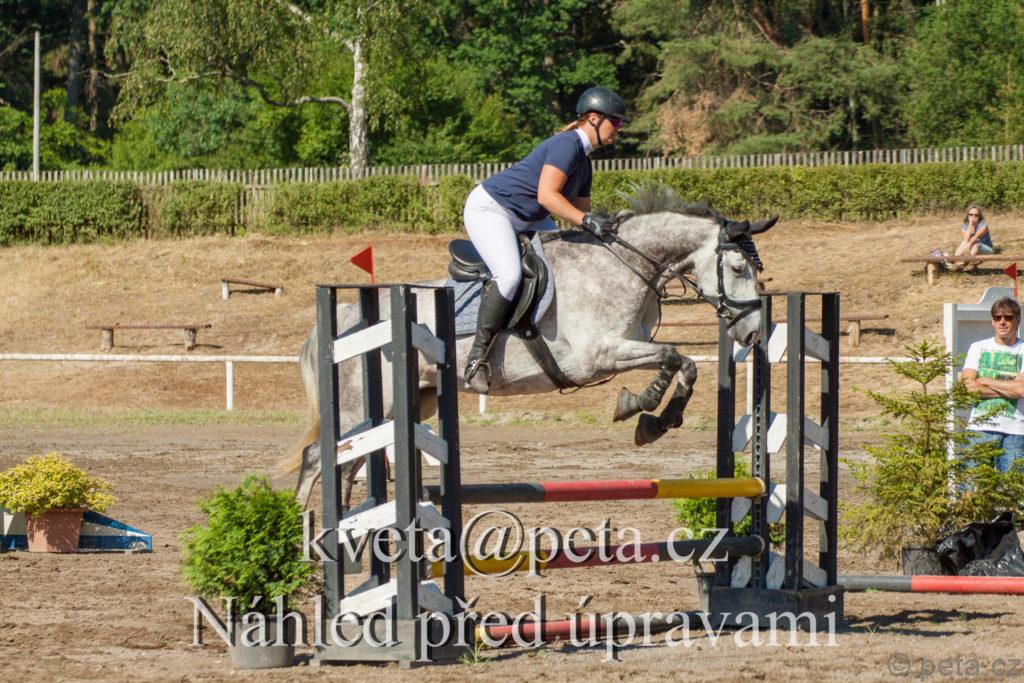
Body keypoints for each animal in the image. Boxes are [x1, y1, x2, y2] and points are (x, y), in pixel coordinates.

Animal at [284, 185, 776, 507]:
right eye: (736, 268)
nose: (753, 333)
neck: (622, 264)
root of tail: (348, 316)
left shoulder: (625, 346)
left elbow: (686, 363)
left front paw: (658, 419)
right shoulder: (597, 356)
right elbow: (674, 356)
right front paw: (642, 407)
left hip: (406, 403)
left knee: (347, 465)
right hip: (362, 406)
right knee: (320, 459)